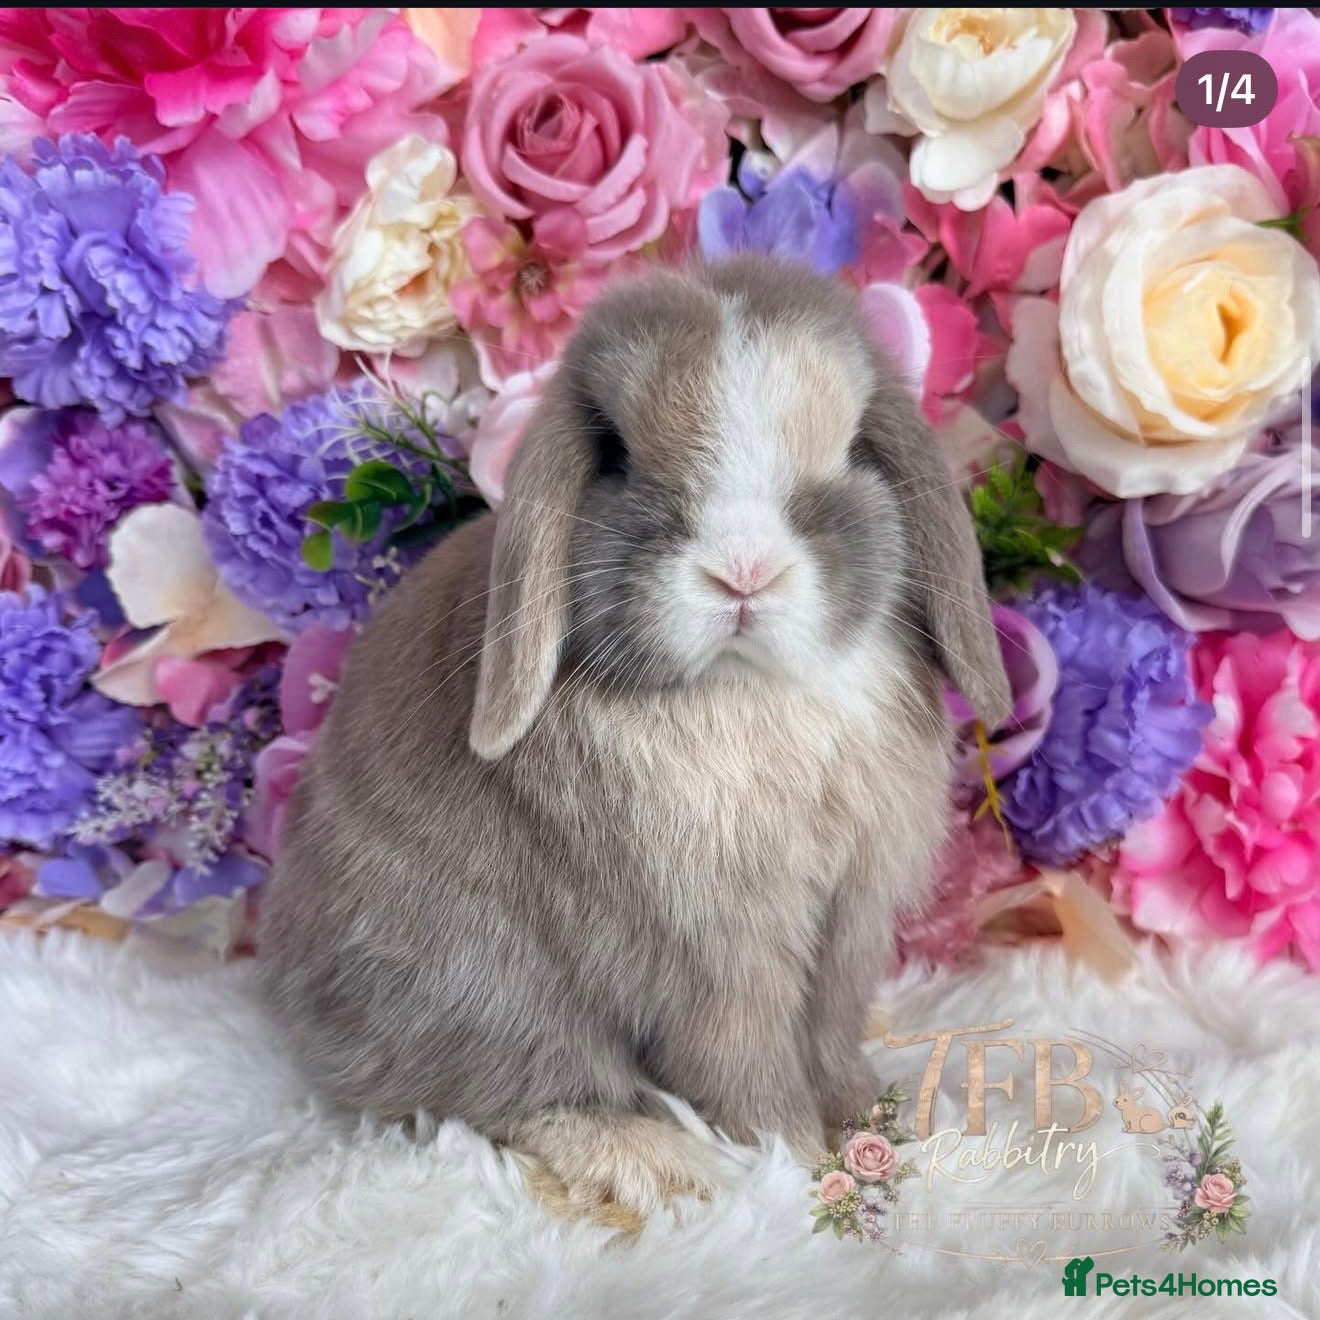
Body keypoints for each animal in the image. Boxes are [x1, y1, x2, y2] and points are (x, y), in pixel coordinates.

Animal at [258, 254, 1011, 1216]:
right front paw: (799, 1163)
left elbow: (832, 1031)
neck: (747, 690)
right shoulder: (718, 957)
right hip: (479, 990)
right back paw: (654, 1163)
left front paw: (872, 1121)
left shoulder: (850, 919)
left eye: (851, 449)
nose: (743, 574)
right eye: (614, 454)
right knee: (507, 1097)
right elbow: (744, 1066)